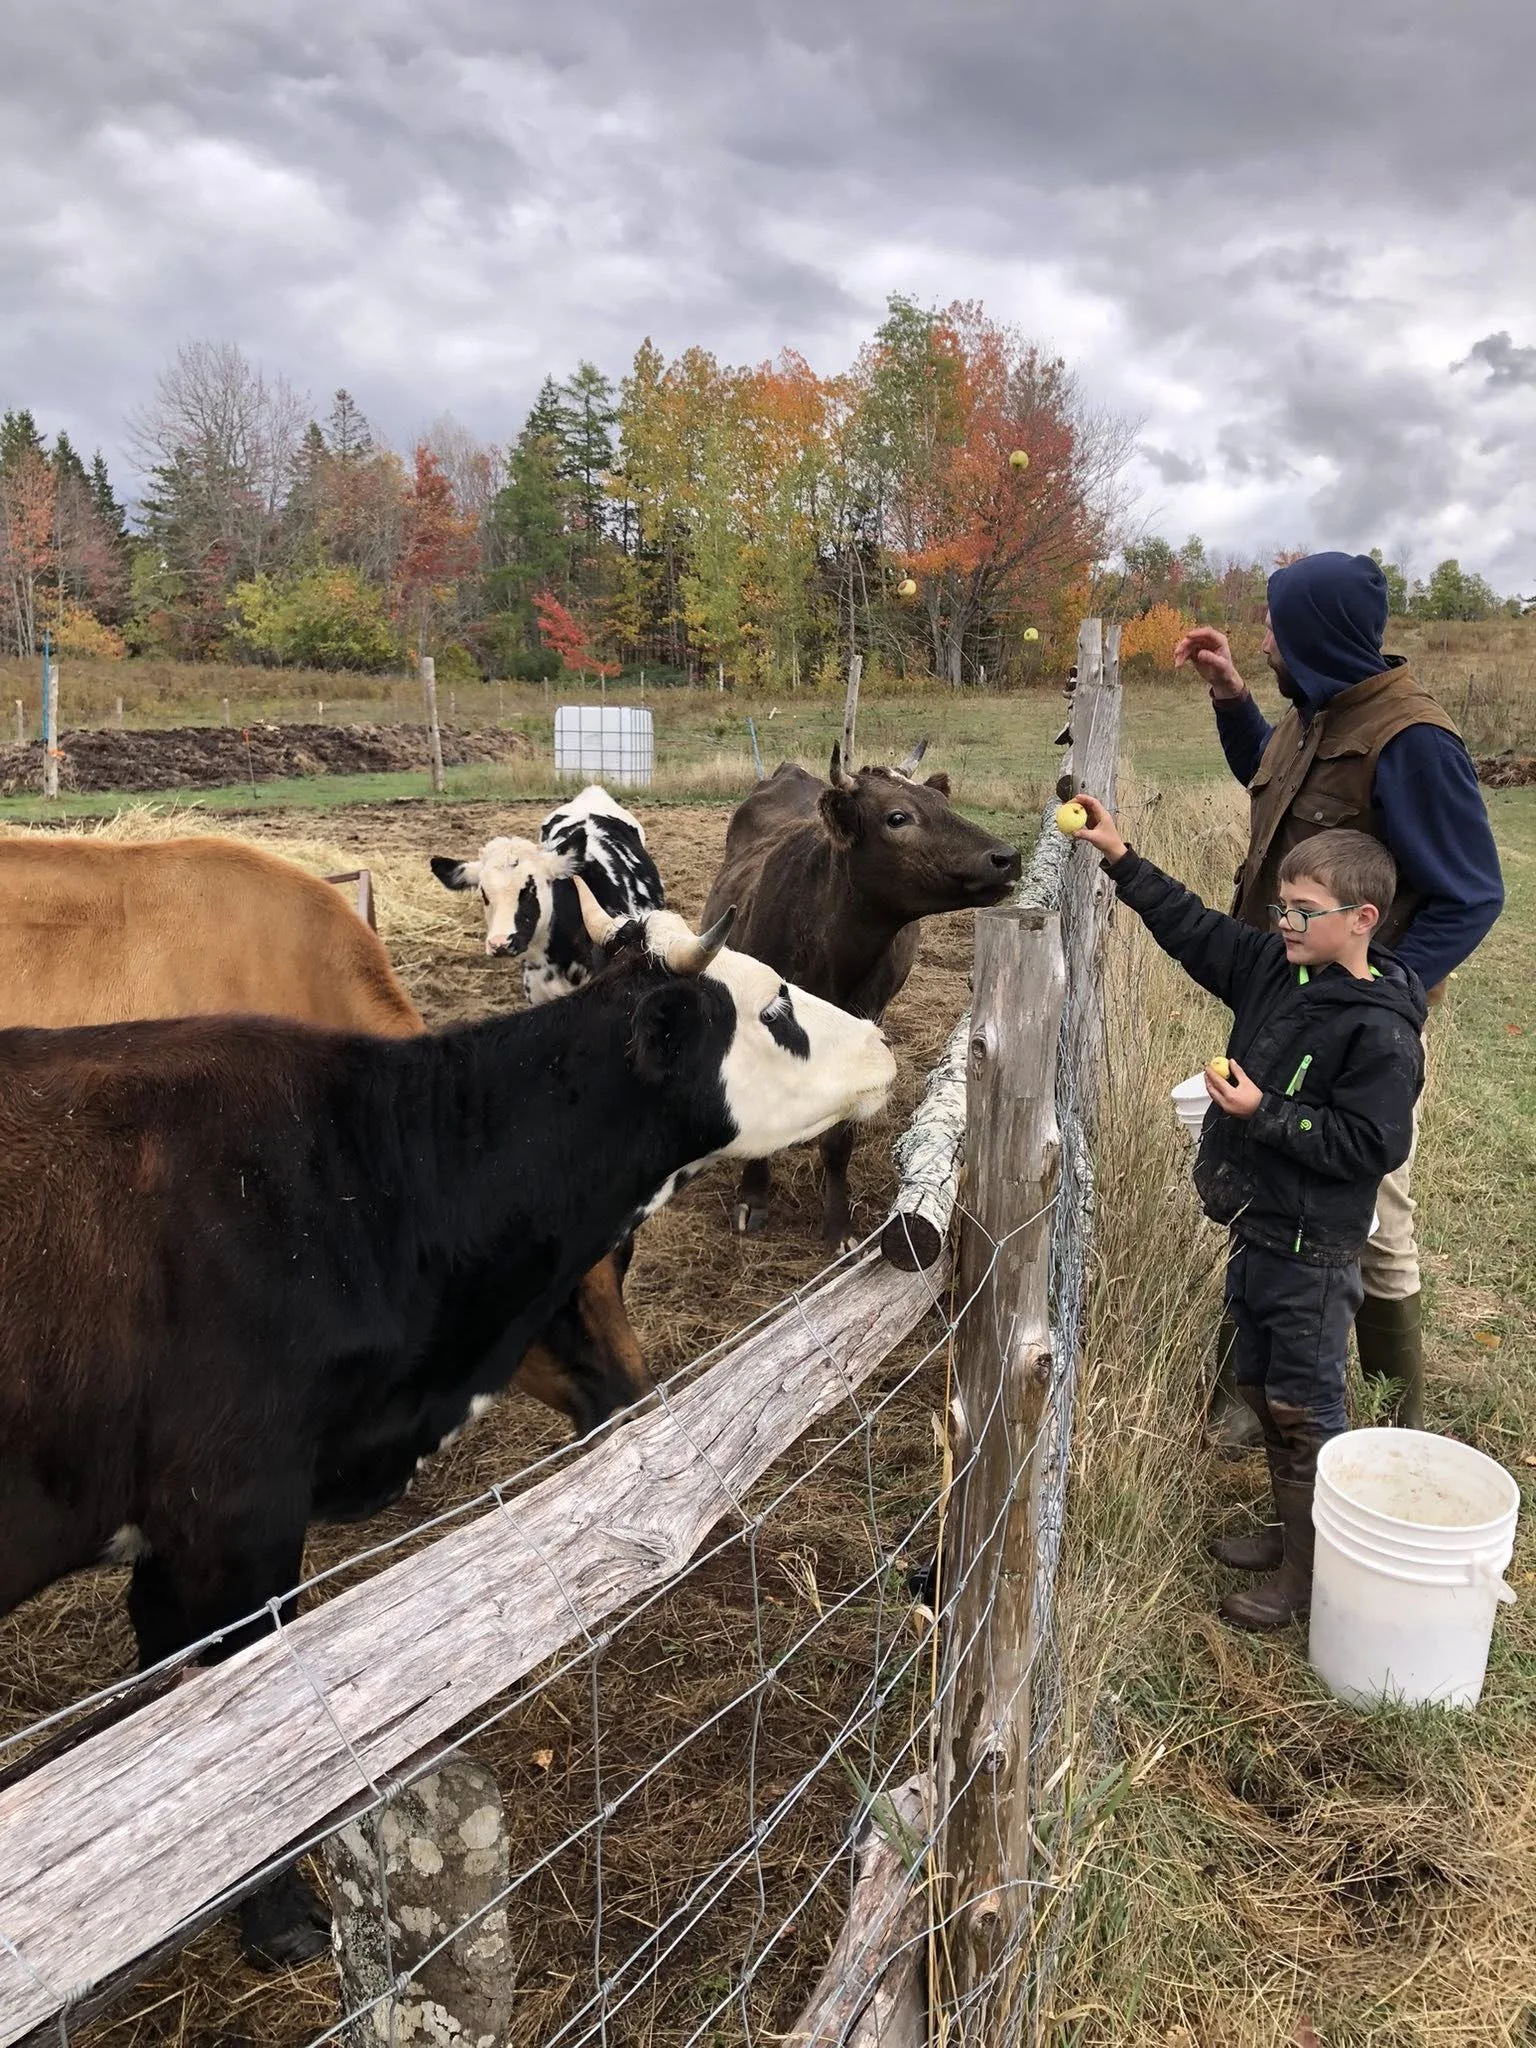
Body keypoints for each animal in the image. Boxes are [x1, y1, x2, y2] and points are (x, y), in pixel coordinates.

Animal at [702, 742, 1021, 1244]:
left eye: (943, 802)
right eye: (898, 817)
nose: (1007, 857)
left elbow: (840, 1139)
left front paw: (837, 1223)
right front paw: (752, 1196)